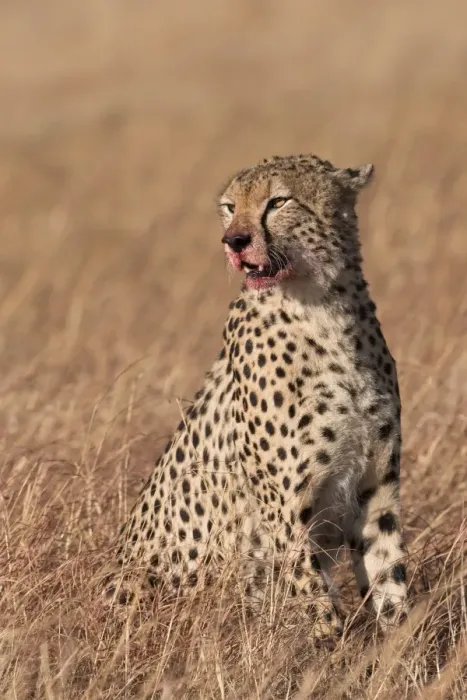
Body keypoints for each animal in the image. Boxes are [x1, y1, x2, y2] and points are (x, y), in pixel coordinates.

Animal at [103, 152, 408, 638]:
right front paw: (332, 650)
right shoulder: (285, 510)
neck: (324, 310)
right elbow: (315, 599)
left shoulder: (376, 490)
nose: (235, 241)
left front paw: (401, 650)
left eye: (278, 202)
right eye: (230, 207)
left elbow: (390, 581)